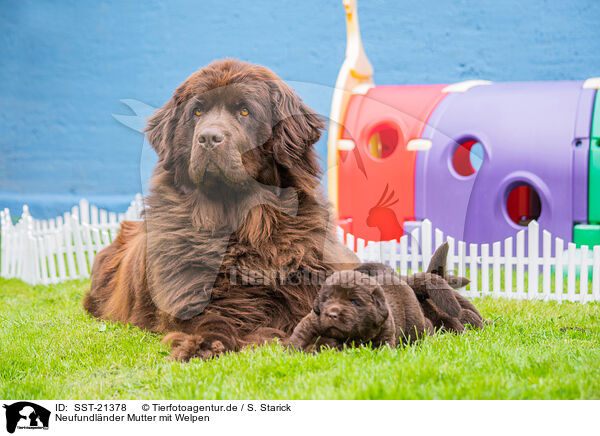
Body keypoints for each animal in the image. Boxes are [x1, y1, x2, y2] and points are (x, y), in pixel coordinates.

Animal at [82, 60, 358, 362]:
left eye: (245, 111)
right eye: (197, 112)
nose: (208, 138)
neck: (245, 225)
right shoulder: (190, 296)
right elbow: (212, 319)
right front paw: (203, 345)